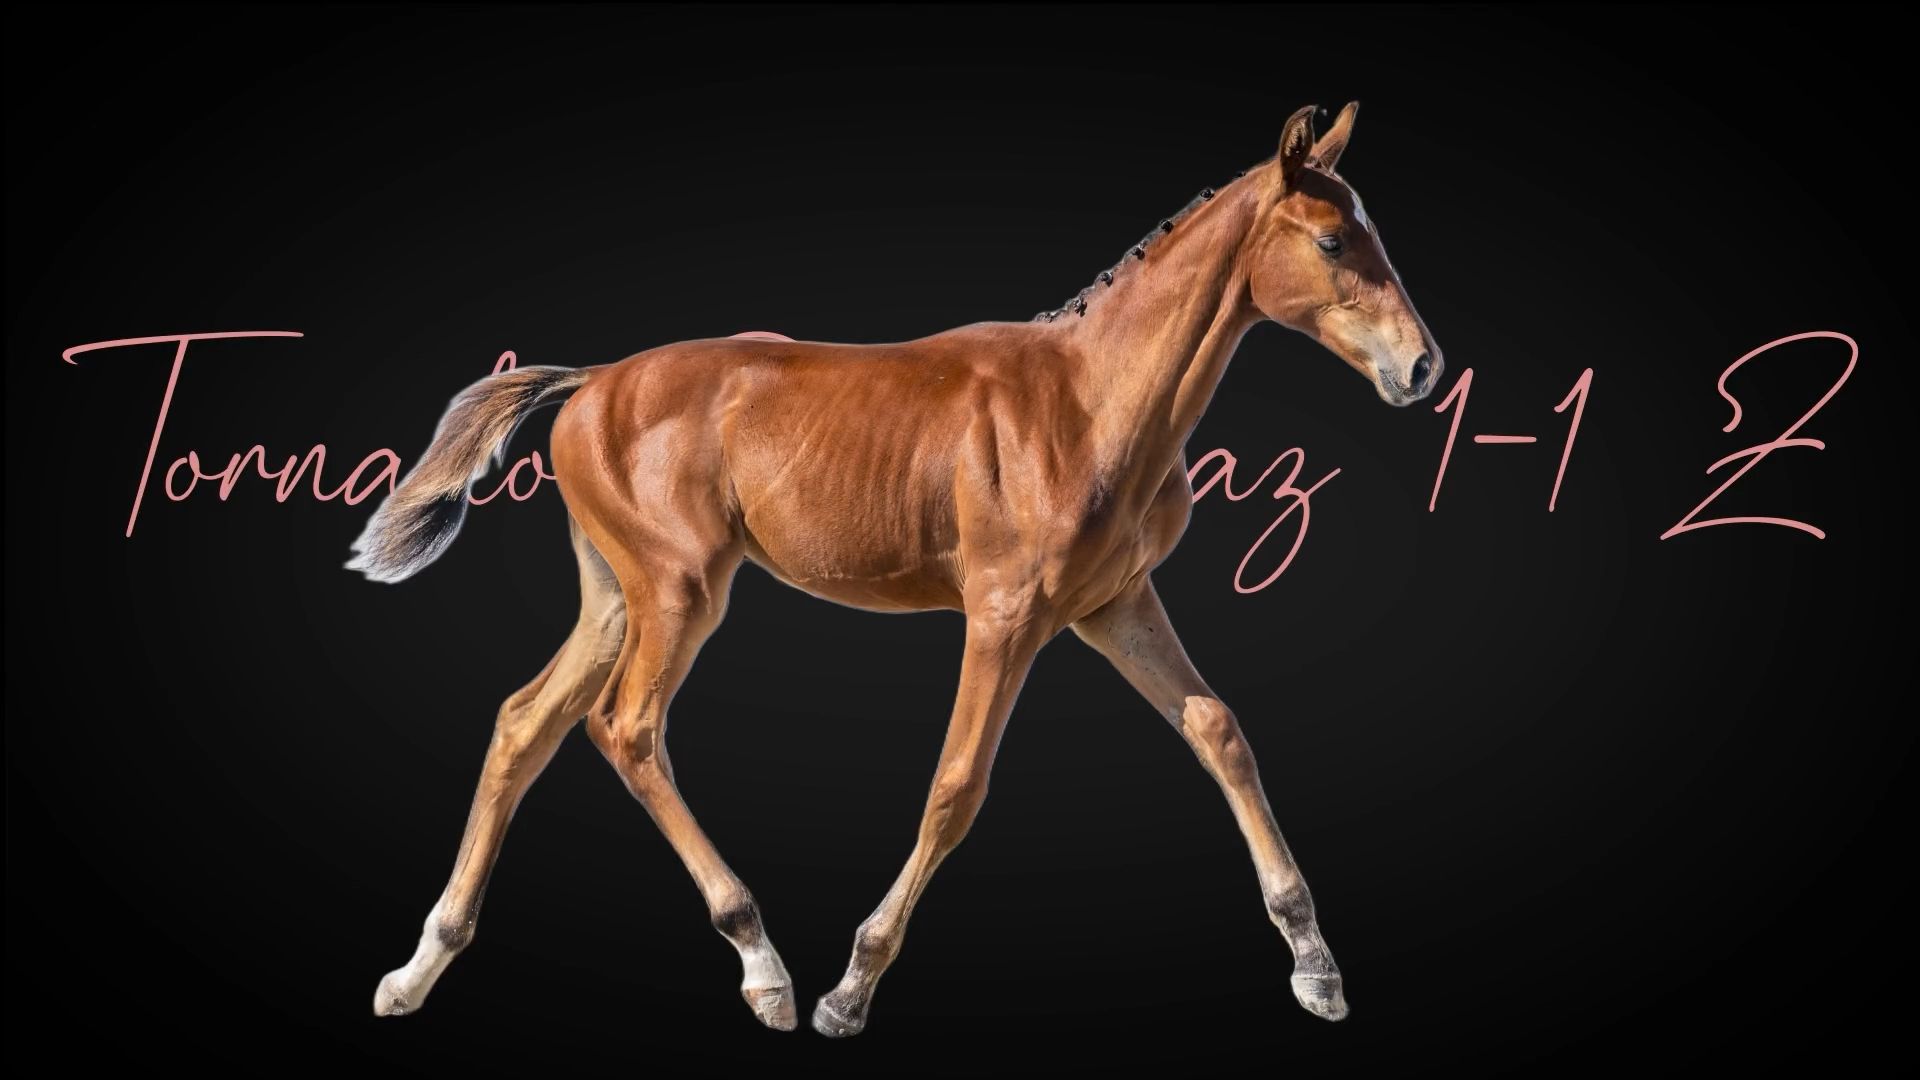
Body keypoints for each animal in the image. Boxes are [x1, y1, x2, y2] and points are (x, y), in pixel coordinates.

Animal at [351, 101, 1441, 1036]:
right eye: (1333, 241)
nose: (1423, 368)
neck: (1091, 404)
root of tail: (592, 381)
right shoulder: (1005, 614)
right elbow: (957, 785)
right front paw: (851, 986)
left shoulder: (1115, 604)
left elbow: (1220, 732)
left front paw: (1316, 966)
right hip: (679, 591)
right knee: (624, 728)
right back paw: (764, 968)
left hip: (617, 596)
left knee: (524, 722)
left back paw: (417, 968)